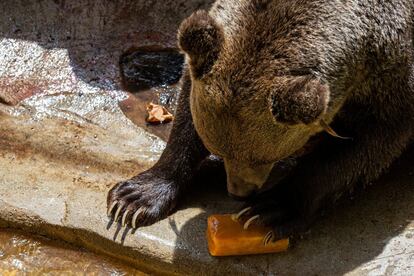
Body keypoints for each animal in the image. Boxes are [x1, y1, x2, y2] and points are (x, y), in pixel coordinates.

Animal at [107, 0, 414, 242]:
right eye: (220, 149)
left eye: (263, 158)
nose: (238, 192)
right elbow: (187, 110)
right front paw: (133, 198)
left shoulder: (392, 77)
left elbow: (364, 147)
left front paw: (270, 210)